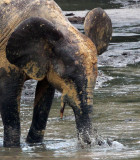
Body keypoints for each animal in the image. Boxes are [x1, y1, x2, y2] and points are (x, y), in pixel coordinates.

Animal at [0, 0, 111, 148]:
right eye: (69, 78)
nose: (95, 142)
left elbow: (45, 97)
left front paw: (35, 146)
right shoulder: (6, 56)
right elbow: (9, 94)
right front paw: (12, 149)